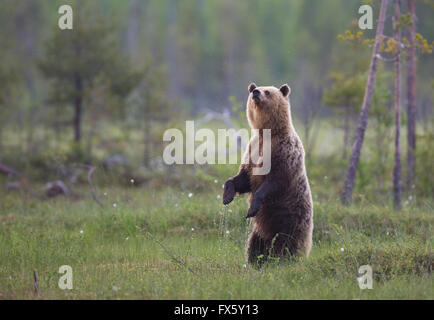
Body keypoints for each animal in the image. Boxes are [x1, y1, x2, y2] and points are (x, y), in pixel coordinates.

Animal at [224, 82, 312, 264]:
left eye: (268, 92)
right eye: (254, 90)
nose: (256, 92)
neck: (267, 133)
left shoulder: (283, 152)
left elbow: (275, 181)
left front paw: (251, 209)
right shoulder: (252, 150)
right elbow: (243, 179)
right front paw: (227, 196)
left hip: (291, 218)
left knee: (287, 243)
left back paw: (283, 260)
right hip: (260, 230)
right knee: (255, 245)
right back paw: (256, 261)